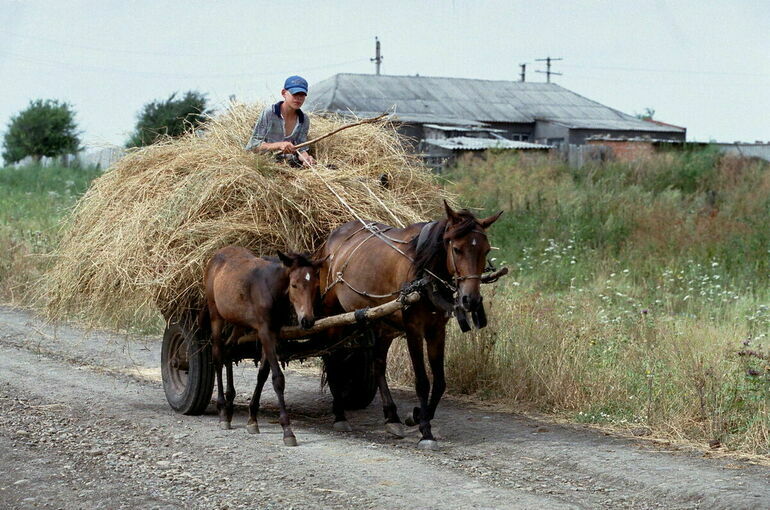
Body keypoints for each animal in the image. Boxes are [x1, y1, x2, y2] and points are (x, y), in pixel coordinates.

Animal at [200, 245, 322, 444]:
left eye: (316, 286)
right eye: (294, 284)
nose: (307, 321)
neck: (270, 288)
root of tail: (216, 256)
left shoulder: (274, 332)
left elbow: (263, 374)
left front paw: (252, 419)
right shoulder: (265, 332)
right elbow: (277, 378)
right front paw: (287, 430)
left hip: (238, 322)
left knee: (229, 350)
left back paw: (230, 404)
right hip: (216, 315)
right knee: (218, 355)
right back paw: (223, 412)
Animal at [316, 201, 500, 448]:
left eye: (486, 250)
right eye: (457, 249)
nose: (470, 300)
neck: (424, 274)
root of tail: (332, 237)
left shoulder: (436, 330)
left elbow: (439, 382)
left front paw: (417, 416)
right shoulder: (414, 329)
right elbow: (422, 381)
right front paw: (426, 432)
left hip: (381, 324)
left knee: (377, 364)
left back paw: (391, 417)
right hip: (333, 315)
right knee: (333, 359)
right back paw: (339, 415)